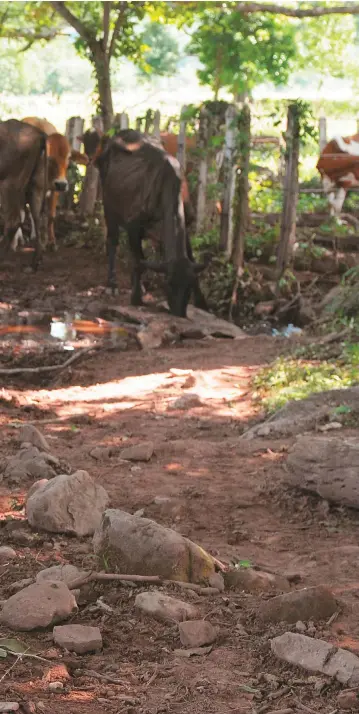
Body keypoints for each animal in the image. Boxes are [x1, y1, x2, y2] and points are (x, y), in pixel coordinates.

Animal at [22, 116, 88, 248]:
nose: (61, 184)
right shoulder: (32, 188)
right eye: (49, 157)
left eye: (69, 157)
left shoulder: (54, 190)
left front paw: (51, 241)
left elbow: (51, 215)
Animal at [95, 129, 208, 318]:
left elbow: (191, 259)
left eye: (189, 286)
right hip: (109, 207)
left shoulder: (185, 225)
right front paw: (136, 298)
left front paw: (202, 302)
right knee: (112, 241)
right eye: (168, 284)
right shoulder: (133, 227)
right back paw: (112, 285)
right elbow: (138, 262)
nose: (179, 313)